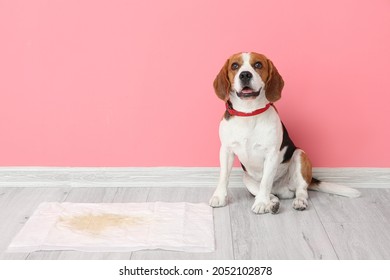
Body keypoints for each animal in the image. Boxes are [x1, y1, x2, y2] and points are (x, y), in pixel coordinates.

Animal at [210, 52, 360, 214]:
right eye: (234, 66)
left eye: (258, 65)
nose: (245, 75)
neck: (248, 112)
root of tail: (281, 189)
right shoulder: (226, 150)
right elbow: (223, 177)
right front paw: (219, 197)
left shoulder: (271, 154)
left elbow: (266, 182)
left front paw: (261, 203)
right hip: (247, 179)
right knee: (272, 194)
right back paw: (272, 203)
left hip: (300, 156)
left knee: (301, 191)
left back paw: (296, 202)